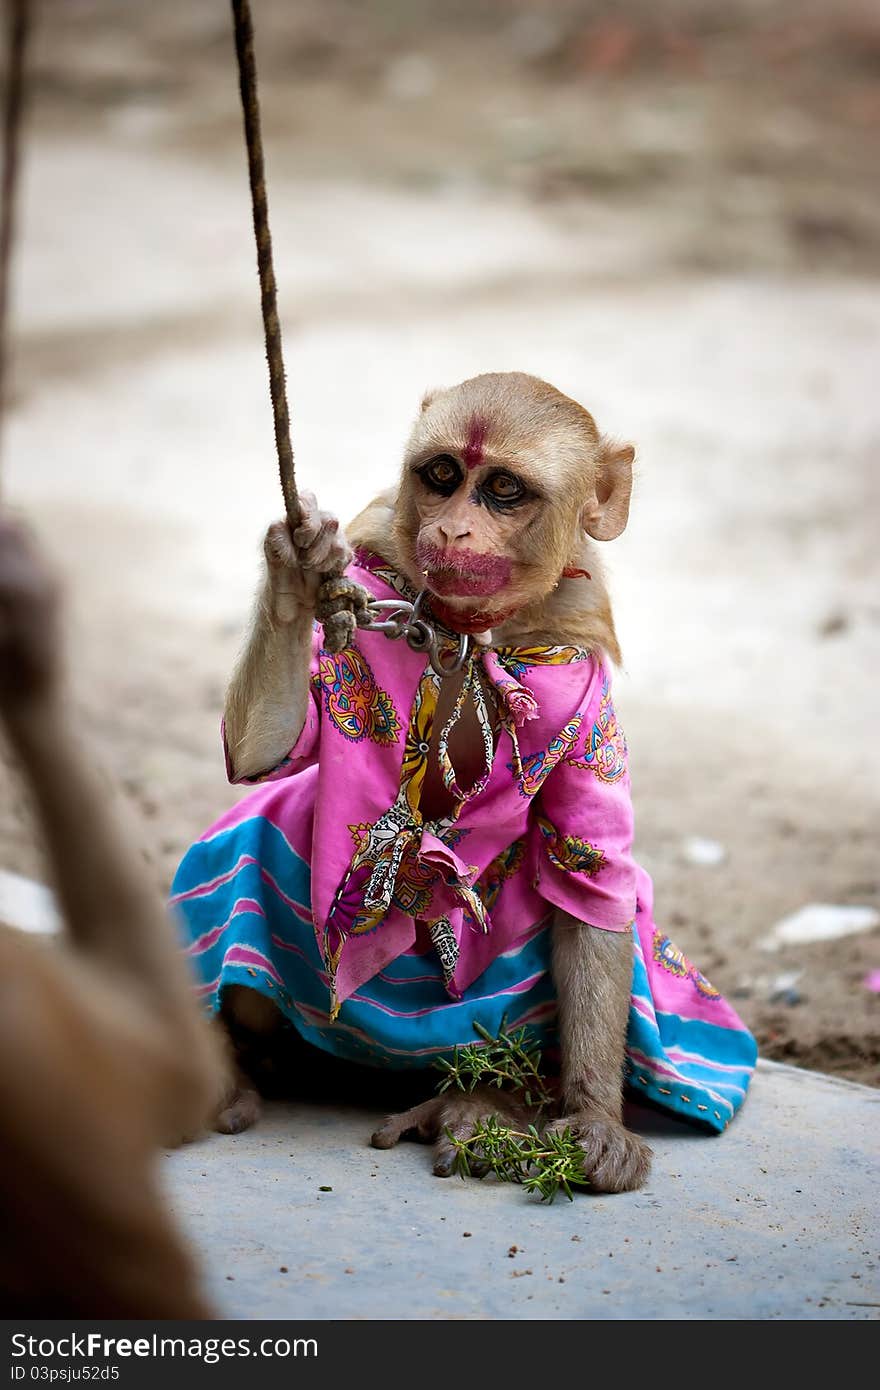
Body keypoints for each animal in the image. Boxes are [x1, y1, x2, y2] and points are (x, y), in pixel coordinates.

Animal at [173, 372, 756, 1195]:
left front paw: (593, 1118)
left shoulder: (578, 665)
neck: (468, 637)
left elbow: (593, 874)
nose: (452, 532)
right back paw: (232, 1067)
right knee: (263, 828)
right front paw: (296, 563)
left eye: (504, 489)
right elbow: (270, 752)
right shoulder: (378, 575)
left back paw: (479, 1102)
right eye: (444, 475)